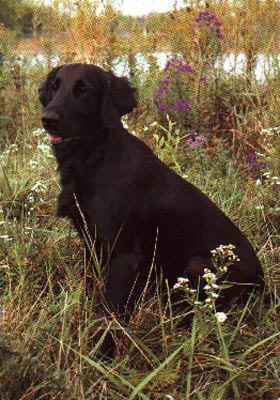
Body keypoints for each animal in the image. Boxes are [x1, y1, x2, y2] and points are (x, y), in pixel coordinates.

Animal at [38, 62, 264, 318]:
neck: (95, 156)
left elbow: (110, 310)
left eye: (83, 89)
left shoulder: (123, 254)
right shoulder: (90, 242)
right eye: (55, 86)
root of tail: (262, 280)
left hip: (198, 266)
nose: (47, 119)